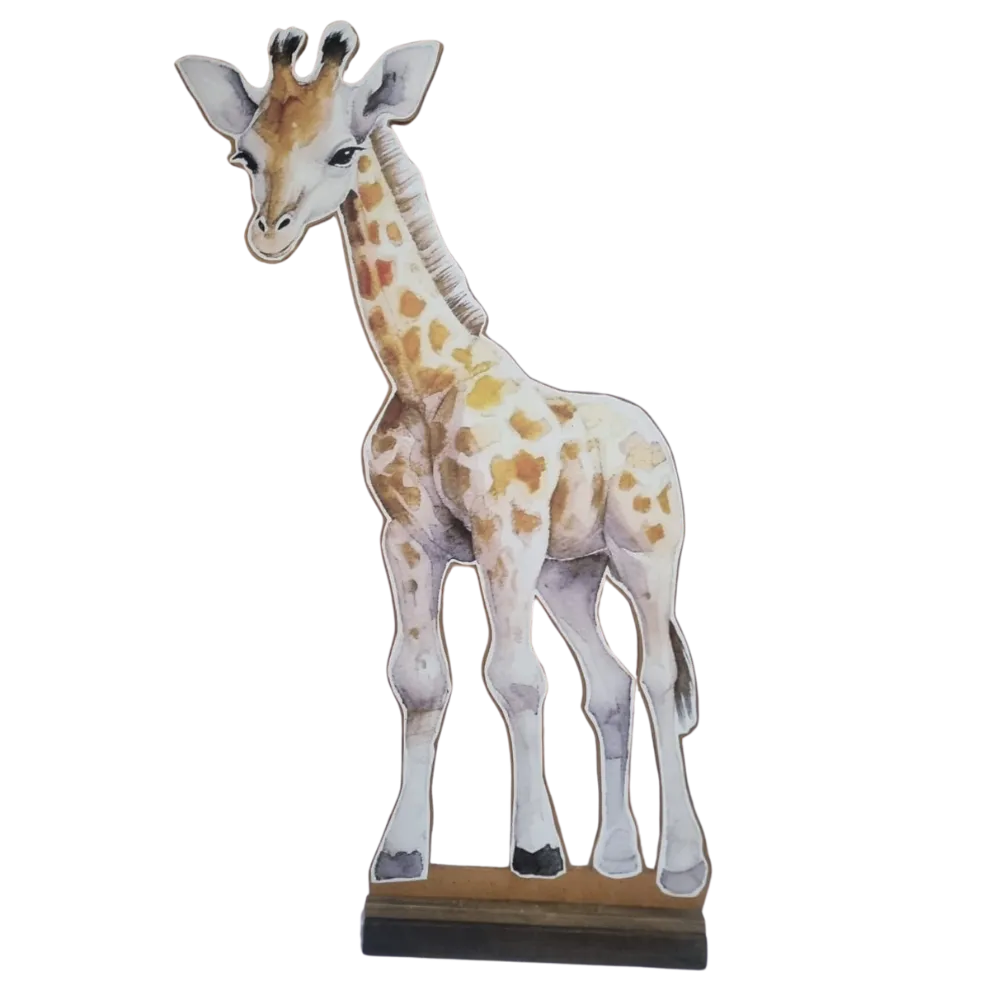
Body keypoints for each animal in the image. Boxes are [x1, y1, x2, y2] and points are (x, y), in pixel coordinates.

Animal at [175, 22, 708, 897]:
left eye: (344, 149)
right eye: (248, 154)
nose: (269, 234)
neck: (425, 379)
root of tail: (653, 434)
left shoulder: (504, 538)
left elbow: (516, 678)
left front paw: (535, 853)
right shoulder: (407, 542)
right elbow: (421, 682)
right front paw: (399, 856)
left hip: (645, 556)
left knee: (660, 678)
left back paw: (683, 868)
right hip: (571, 575)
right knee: (608, 685)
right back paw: (617, 861)